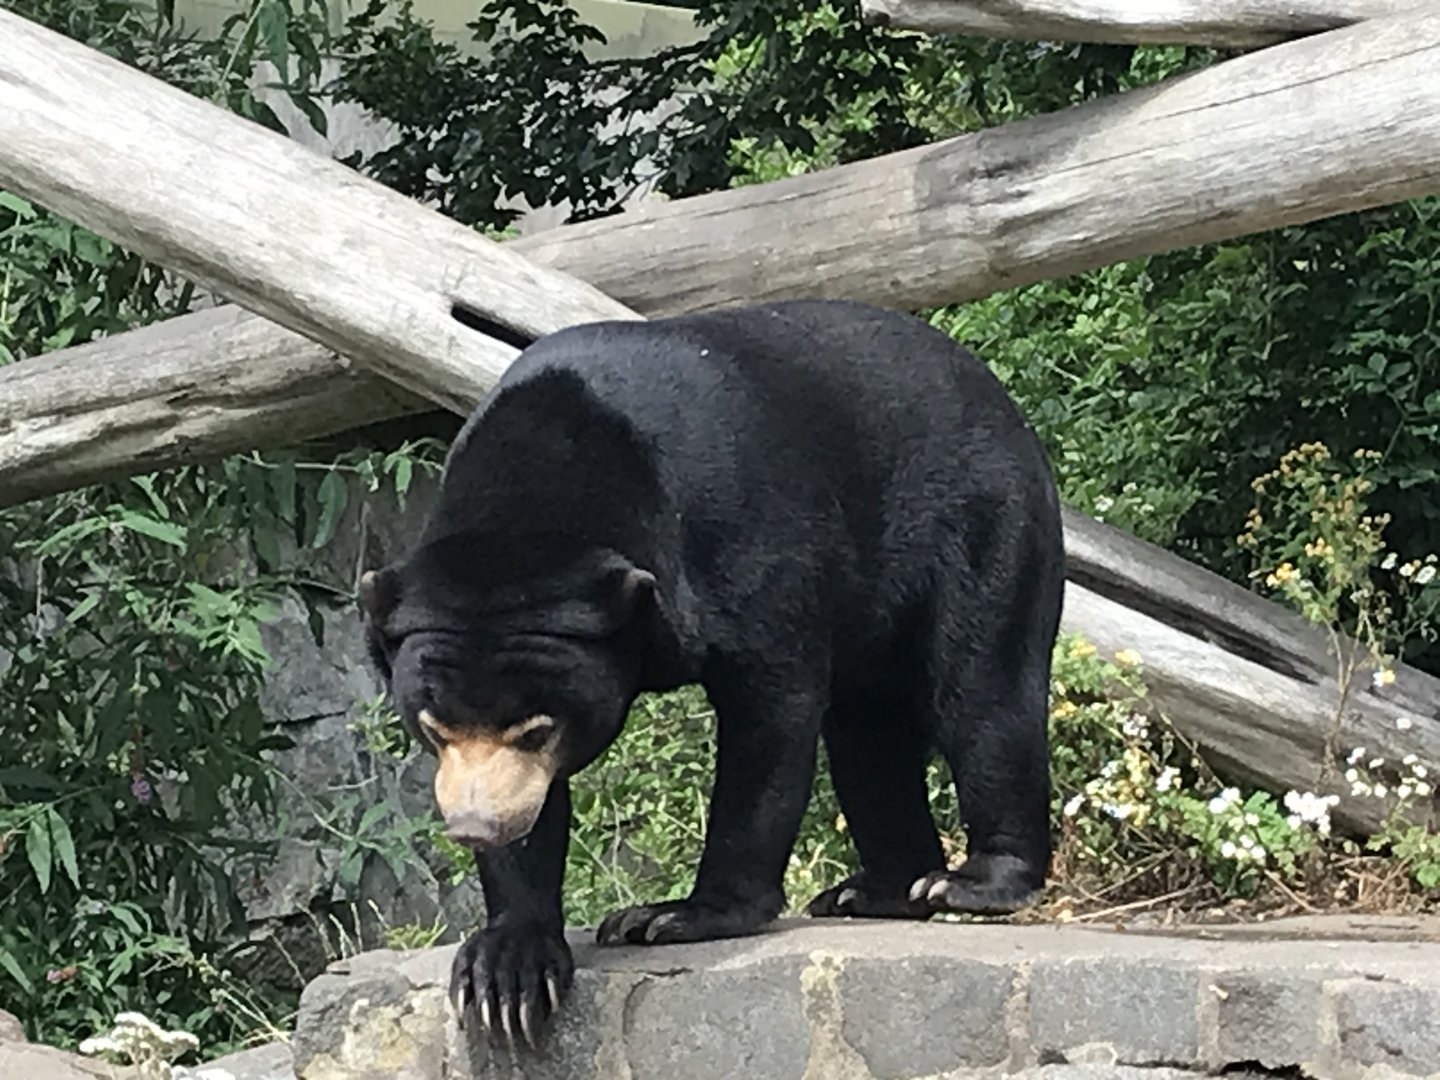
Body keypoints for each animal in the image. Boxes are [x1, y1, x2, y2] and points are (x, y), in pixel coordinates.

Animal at [359, 298, 1065, 1048]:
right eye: (435, 728)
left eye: (537, 730)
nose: (476, 827)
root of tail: (1000, 399)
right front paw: (508, 976)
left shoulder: (739, 533)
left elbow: (771, 710)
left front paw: (672, 916)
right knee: (869, 737)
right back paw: (878, 889)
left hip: (986, 521)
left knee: (982, 694)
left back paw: (971, 882)